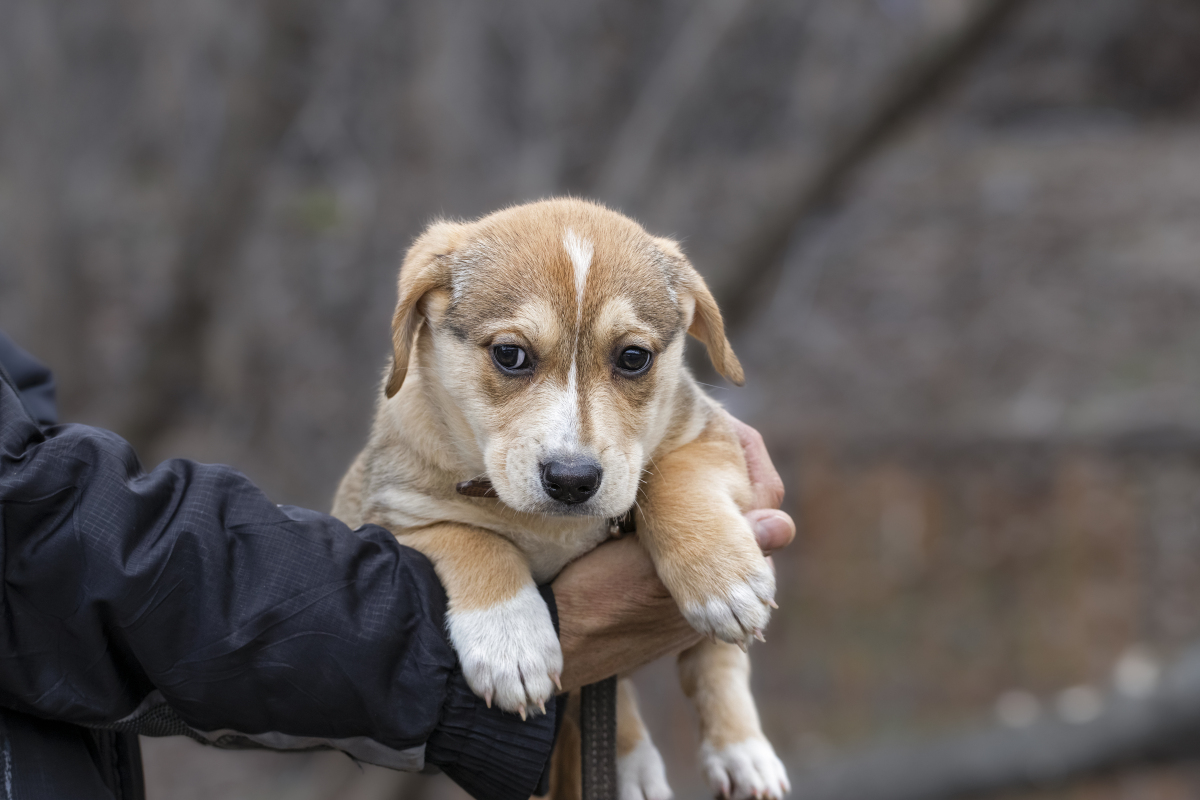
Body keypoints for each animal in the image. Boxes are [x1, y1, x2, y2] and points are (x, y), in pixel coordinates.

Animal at [333, 199, 792, 800]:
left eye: (634, 358)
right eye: (509, 354)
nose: (573, 481)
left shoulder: (709, 438)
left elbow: (673, 479)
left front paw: (721, 579)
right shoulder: (390, 517)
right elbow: (473, 539)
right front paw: (513, 646)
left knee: (715, 663)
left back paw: (741, 752)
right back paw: (634, 764)